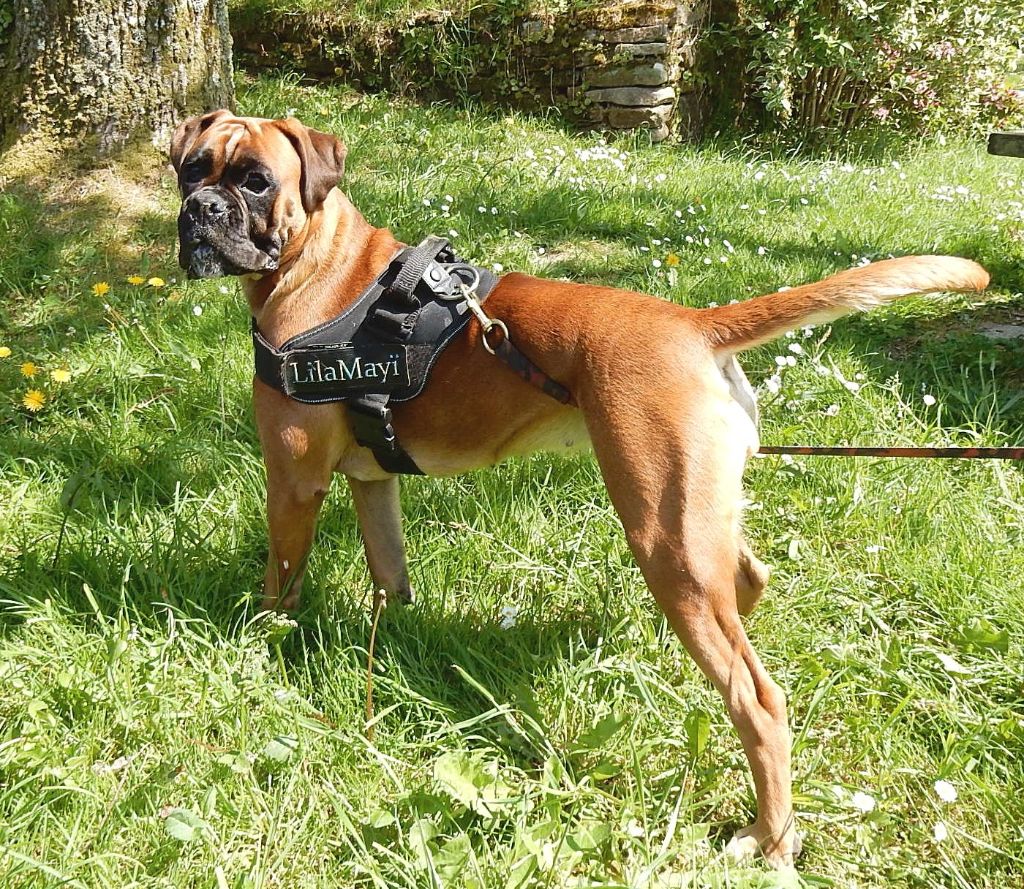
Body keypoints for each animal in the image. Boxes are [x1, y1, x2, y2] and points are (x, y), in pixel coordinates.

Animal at [170, 109, 989, 869]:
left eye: (255, 181)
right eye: (190, 169)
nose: (200, 210)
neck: (322, 265)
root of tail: (694, 323)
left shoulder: (293, 483)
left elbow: (280, 587)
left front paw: (261, 650)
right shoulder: (375, 487)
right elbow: (391, 578)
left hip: (663, 535)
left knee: (758, 699)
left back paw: (772, 838)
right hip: (698, 524)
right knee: (747, 584)